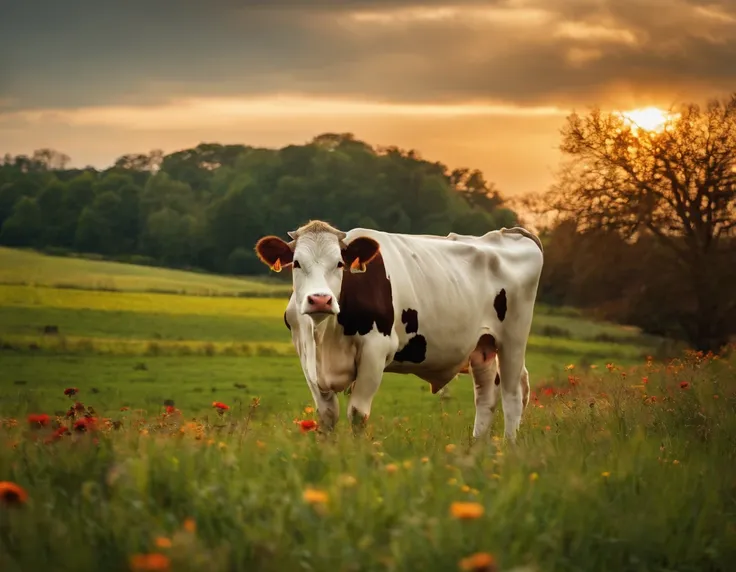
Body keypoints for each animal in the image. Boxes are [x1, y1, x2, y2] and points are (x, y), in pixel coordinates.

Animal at [256, 220, 544, 442]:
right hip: (483, 345)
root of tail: (508, 233)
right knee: (486, 397)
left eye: (339, 263)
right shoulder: (306, 354)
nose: (320, 300)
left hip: (513, 339)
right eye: (296, 263)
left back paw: (508, 448)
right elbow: (327, 415)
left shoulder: (375, 350)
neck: (325, 336)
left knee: (512, 395)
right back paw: (477, 447)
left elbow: (357, 414)